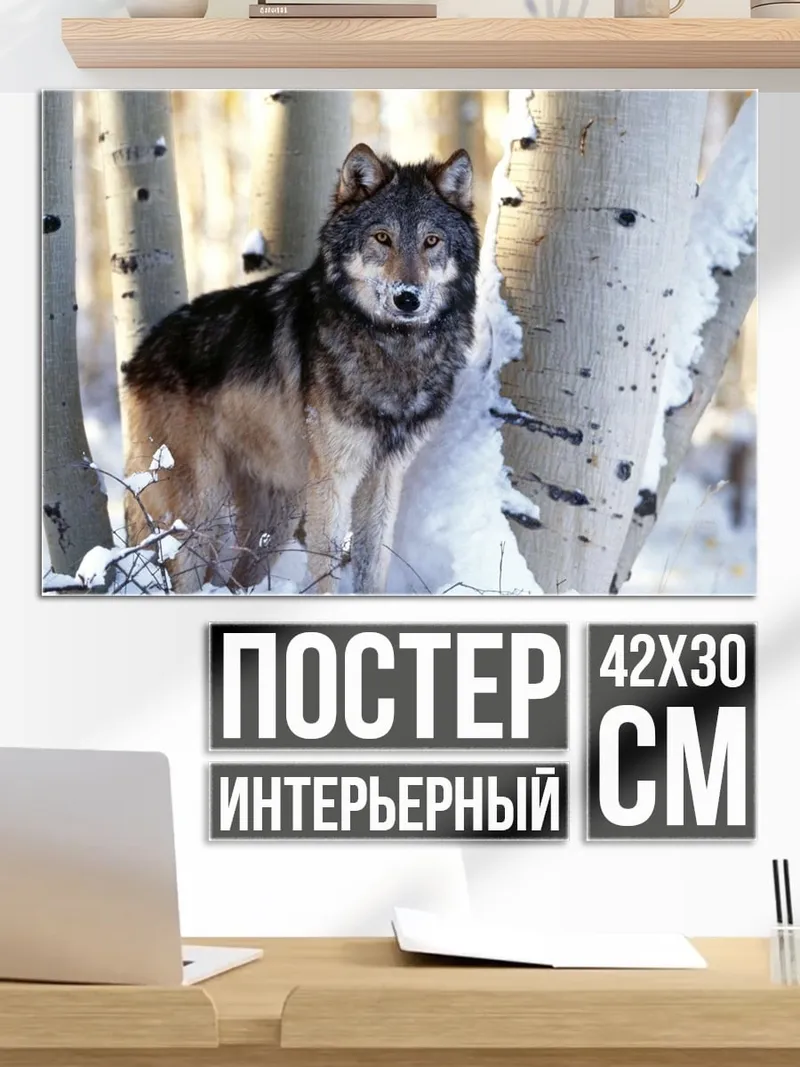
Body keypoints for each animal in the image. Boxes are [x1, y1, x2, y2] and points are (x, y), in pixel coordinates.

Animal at [122, 143, 480, 594]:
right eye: (383, 237)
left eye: (431, 241)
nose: (407, 298)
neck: (395, 348)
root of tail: (138, 356)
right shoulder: (333, 479)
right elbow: (325, 571)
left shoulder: (384, 478)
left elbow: (372, 567)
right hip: (201, 509)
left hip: (276, 517)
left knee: (236, 581)